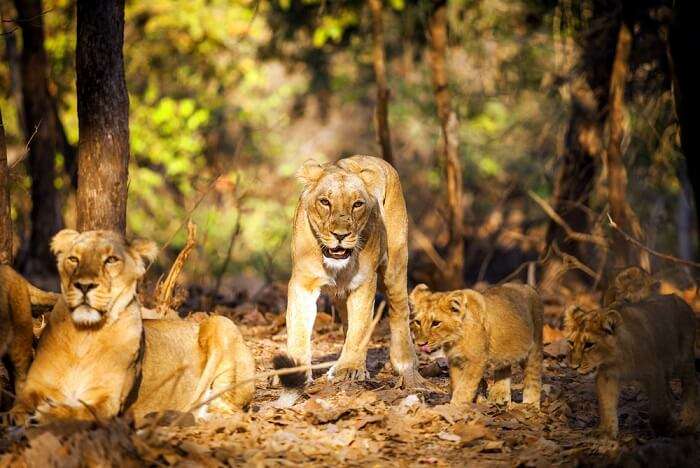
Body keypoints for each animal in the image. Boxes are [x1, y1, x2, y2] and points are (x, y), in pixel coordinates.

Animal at [12, 229, 255, 423]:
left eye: (110, 260)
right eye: (73, 259)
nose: (84, 285)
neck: (85, 335)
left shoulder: (108, 400)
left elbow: (84, 411)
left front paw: (47, 414)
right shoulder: (35, 385)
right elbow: (19, 404)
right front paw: (19, 417)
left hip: (222, 322)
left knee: (228, 408)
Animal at [274, 155, 422, 388]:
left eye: (357, 204)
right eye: (325, 202)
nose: (340, 235)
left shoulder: (364, 282)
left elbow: (359, 327)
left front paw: (349, 369)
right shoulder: (303, 283)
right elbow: (298, 328)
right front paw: (293, 372)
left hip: (395, 264)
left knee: (399, 309)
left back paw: (405, 362)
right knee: (346, 320)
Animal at [409, 283, 543, 408]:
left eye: (436, 323)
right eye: (418, 322)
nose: (420, 344)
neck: (454, 339)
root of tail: (527, 286)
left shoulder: (476, 360)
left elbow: (465, 387)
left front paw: (455, 407)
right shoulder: (455, 360)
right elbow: (457, 383)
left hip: (534, 347)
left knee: (533, 377)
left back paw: (531, 405)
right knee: (504, 366)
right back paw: (499, 397)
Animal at [564, 295, 698, 438]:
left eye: (589, 344)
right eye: (571, 343)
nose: (573, 366)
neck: (616, 360)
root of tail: (678, 298)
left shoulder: (654, 373)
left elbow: (658, 409)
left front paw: (666, 427)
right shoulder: (607, 375)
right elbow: (606, 404)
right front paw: (606, 431)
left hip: (683, 360)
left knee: (691, 385)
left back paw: (689, 424)